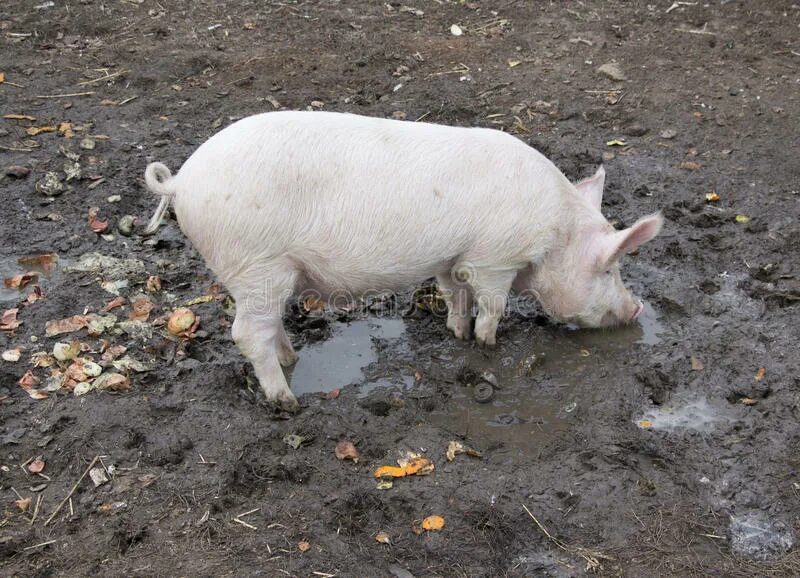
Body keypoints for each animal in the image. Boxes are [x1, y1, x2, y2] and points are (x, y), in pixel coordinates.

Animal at [145, 110, 664, 408]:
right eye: (611, 267)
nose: (637, 308)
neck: (554, 231)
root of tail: (182, 182)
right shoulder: (494, 258)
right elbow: (492, 304)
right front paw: (488, 346)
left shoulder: (452, 257)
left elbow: (454, 294)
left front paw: (457, 334)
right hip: (257, 265)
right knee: (246, 333)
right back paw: (287, 401)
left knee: (267, 327)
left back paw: (293, 359)